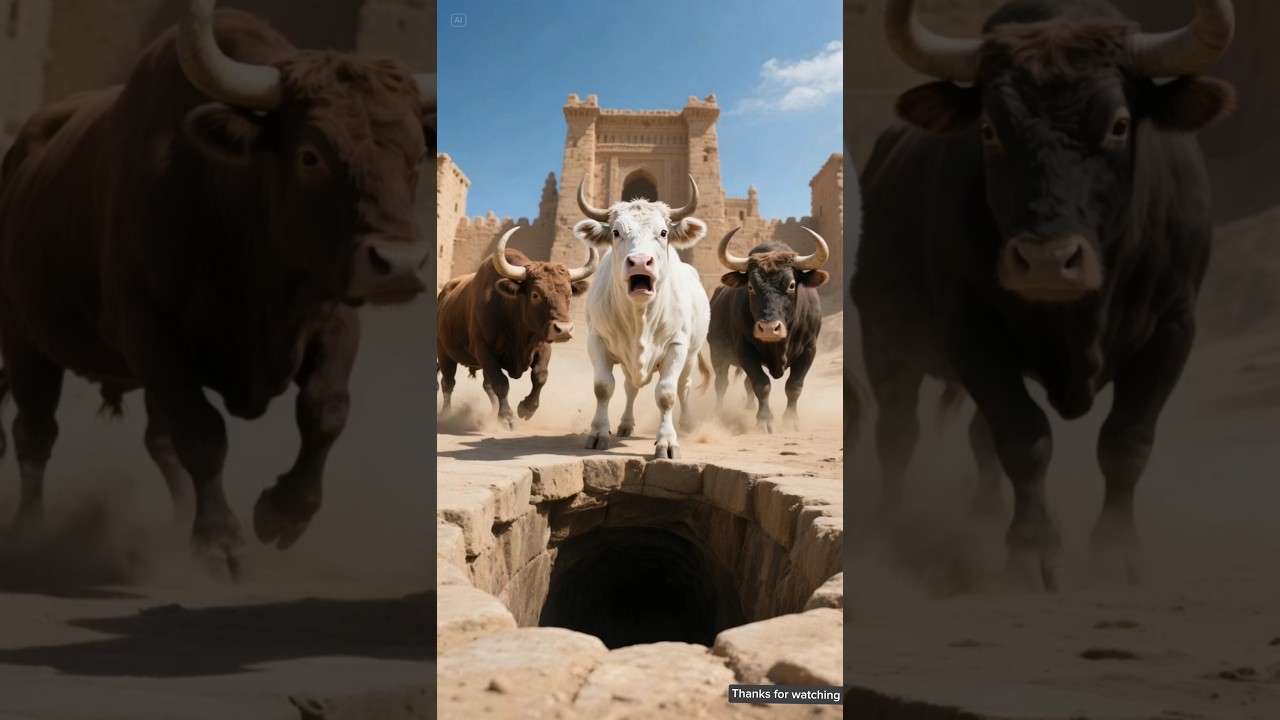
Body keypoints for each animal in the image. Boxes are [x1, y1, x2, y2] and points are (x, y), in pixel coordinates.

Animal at [0, 0, 433, 577]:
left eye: (415, 156)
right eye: (310, 155)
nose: (400, 264)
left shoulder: (333, 316)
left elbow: (326, 409)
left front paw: (284, 511)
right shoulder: (150, 331)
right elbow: (202, 432)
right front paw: (218, 539)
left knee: (156, 441)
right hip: (25, 337)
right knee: (35, 434)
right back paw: (30, 531)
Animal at [436, 227, 598, 428]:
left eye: (569, 294)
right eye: (535, 294)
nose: (564, 330)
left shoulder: (543, 345)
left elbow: (540, 376)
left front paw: (526, 408)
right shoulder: (484, 350)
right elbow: (501, 383)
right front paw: (507, 417)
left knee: (486, 386)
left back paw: (492, 414)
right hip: (445, 353)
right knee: (448, 383)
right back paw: (446, 415)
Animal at [573, 174, 713, 460]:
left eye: (663, 232)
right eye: (616, 232)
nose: (639, 262)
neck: (640, 317)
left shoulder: (677, 345)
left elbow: (667, 393)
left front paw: (667, 442)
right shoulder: (597, 340)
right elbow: (603, 387)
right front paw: (598, 432)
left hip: (691, 355)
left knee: (684, 387)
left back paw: (686, 424)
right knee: (630, 388)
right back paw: (626, 424)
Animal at [708, 227, 830, 433]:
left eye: (791, 285)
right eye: (750, 286)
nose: (768, 328)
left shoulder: (809, 349)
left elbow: (794, 386)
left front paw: (791, 420)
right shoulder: (744, 349)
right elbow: (761, 384)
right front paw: (764, 420)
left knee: (745, 384)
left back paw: (748, 408)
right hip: (717, 354)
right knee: (721, 383)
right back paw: (718, 412)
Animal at [854, 0, 1236, 592]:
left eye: (1119, 124)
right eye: (989, 130)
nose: (1047, 261)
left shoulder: (1173, 327)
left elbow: (1127, 441)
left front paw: (1115, 551)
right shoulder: (971, 328)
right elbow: (1023, 437)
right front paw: (1032, 550)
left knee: (973, 436)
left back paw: (983, 511)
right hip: (885, 339)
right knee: (898, 434)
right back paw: (889, 527)